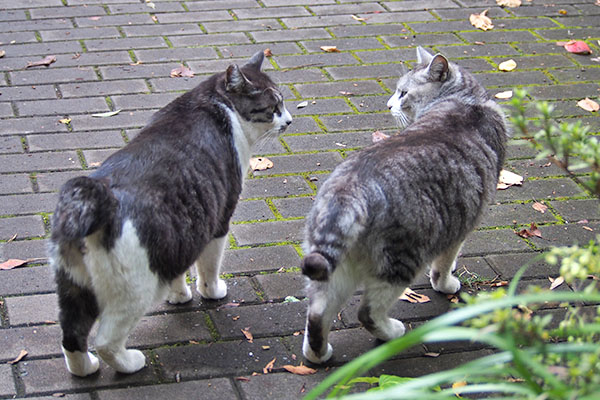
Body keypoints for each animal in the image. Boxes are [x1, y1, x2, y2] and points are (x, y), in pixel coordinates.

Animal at [48, 51, 292, 376]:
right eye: (274, 107)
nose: (289, 119)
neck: (215, 104)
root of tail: (93, 200)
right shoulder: (217, 221)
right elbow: (208, 268)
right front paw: (211, 292)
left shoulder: (183, 230)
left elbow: (179, 270)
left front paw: (179, 296)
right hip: (134, 291)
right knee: (106, 340)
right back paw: (130, 362)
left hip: (73, 286)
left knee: (71, 336)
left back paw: (85, 368)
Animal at [300, 46, 506, 362]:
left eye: (403, 93)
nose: (388, 105)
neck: (466, 99)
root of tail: (350, 189)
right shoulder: (459, 226)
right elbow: (444, 265)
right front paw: (447, 284)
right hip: (401, 261)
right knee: (367, 312)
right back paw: (393, 332)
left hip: (335, 268)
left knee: (318, 312)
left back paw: (318, 355)